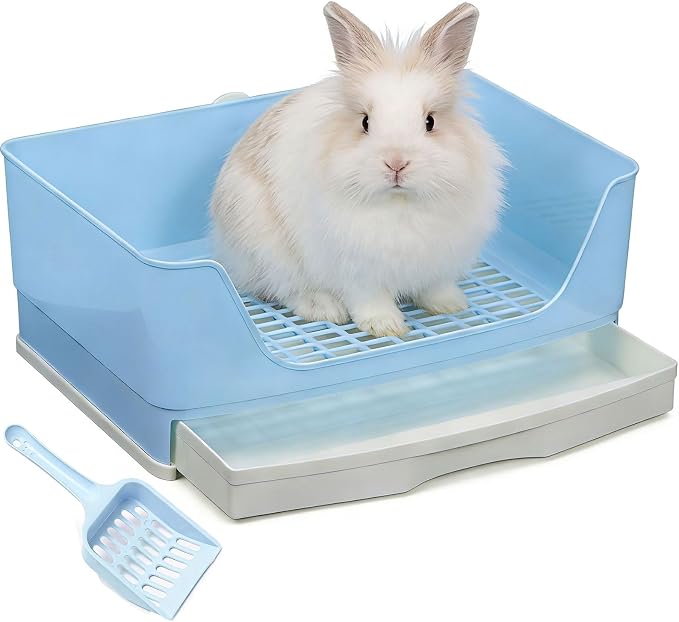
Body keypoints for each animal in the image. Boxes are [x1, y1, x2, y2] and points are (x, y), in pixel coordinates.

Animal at [210, 2, 505, 337]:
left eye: (430, 121)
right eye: (365, 122)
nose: (396, 163)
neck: (399, 203)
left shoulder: (437, 262)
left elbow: (434, 287)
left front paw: (451, 305)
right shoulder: (356, 271)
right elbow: (369, 299)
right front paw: (386, 326)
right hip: (268, 254)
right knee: (285, 289)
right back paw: (325, 308)